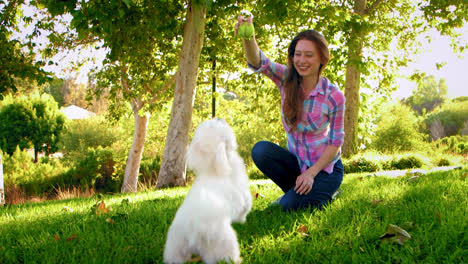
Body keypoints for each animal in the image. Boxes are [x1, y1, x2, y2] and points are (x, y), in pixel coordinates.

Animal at [165, 118, 252, 264]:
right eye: (218, 125)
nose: (219, 118)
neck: (212, 169)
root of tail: (192, 231)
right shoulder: (244, 196)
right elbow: (245, 209)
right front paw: (243, 220)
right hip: (223, 241)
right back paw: (237, 259)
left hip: (176, 244)